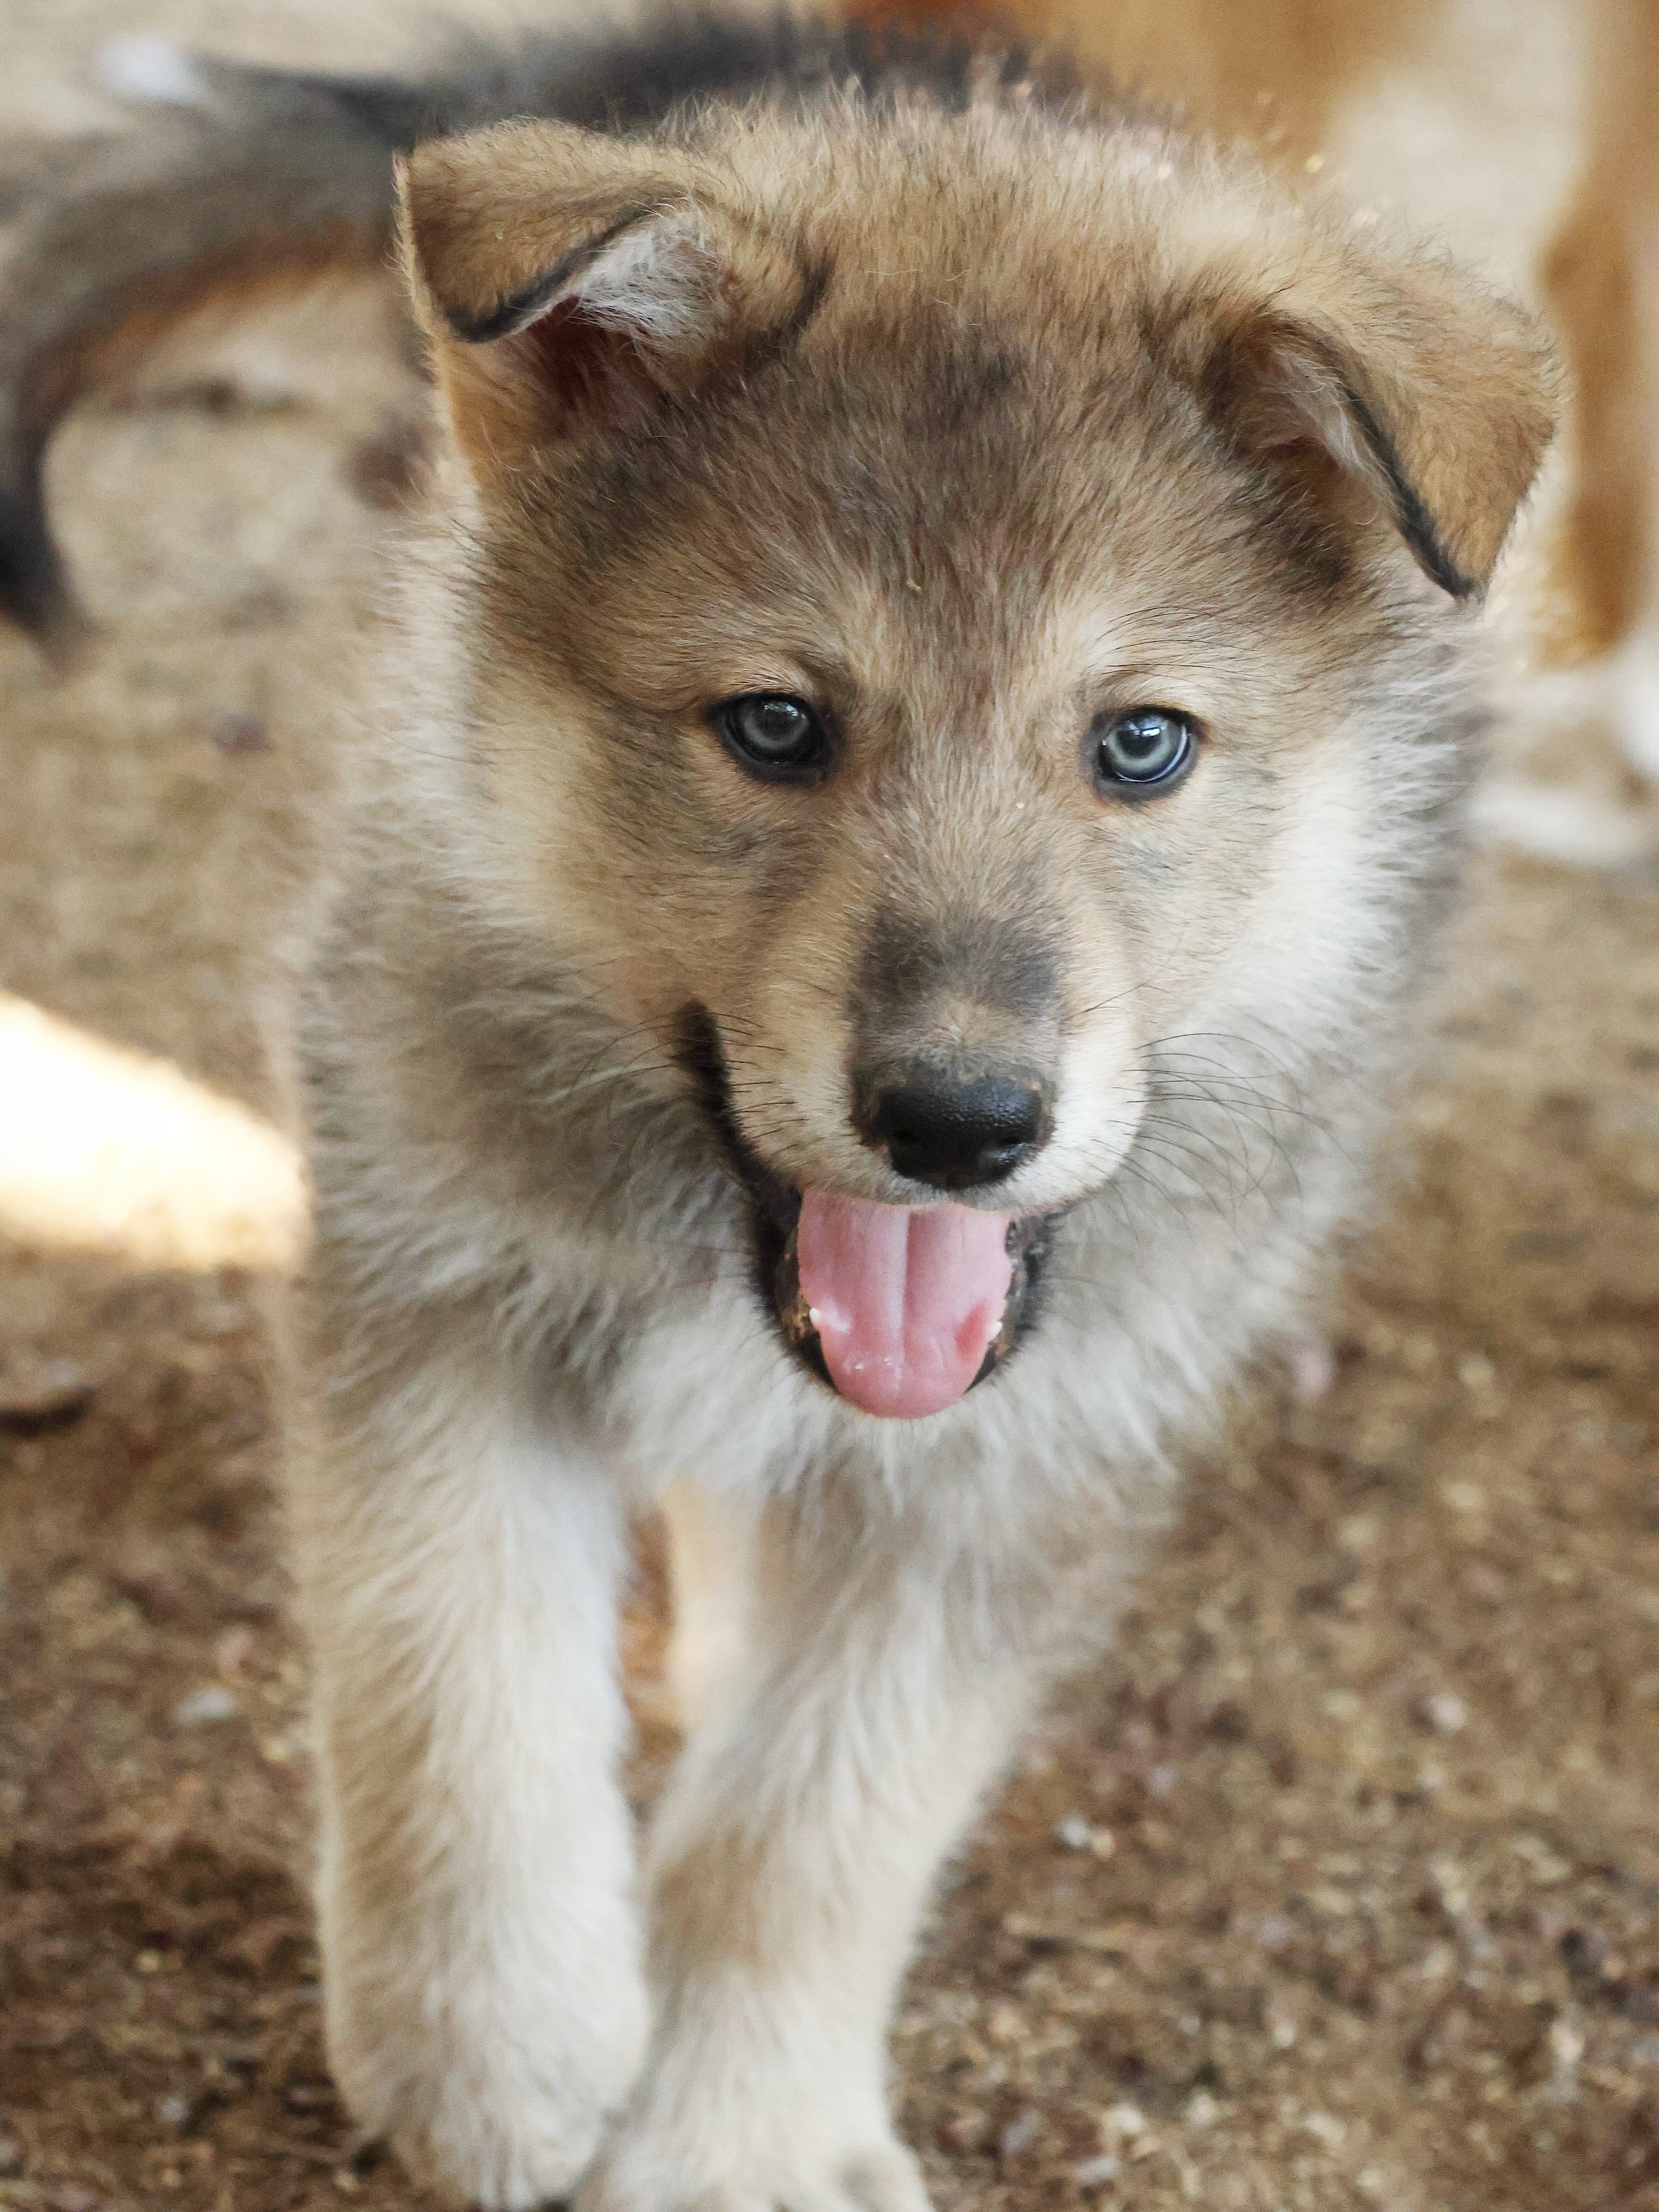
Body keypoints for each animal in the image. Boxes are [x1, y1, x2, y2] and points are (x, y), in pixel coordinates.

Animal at [0, 9, 1557, 2207]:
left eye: (1140, 744)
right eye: (773, 726)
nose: (960, 1123)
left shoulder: (1013, 1462)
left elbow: (819, 1822)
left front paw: (729, 2135)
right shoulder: (437, 1280)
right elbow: (447, 1677)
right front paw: (493, 2042)